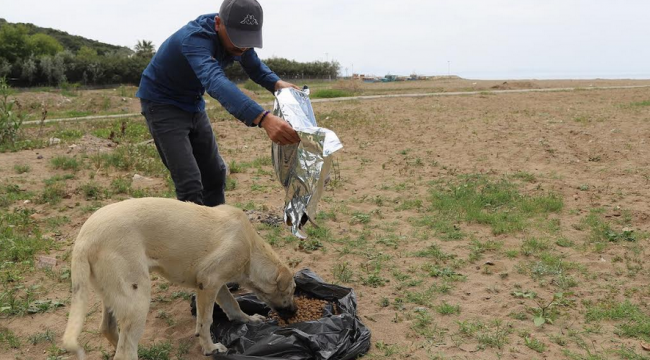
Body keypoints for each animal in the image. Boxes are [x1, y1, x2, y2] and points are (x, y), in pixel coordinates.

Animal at [60, 198, 294, 358]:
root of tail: (84, 240)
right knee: (125, 352)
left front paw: (249, 319)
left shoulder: (217, 283)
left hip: (113, 295)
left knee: (109, 330)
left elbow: (232, 304)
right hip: (138, 299)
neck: (251, 248)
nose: (294, 312)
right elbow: (205, 322)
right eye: (292, 291)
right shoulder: (208, 282)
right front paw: (210, 348)